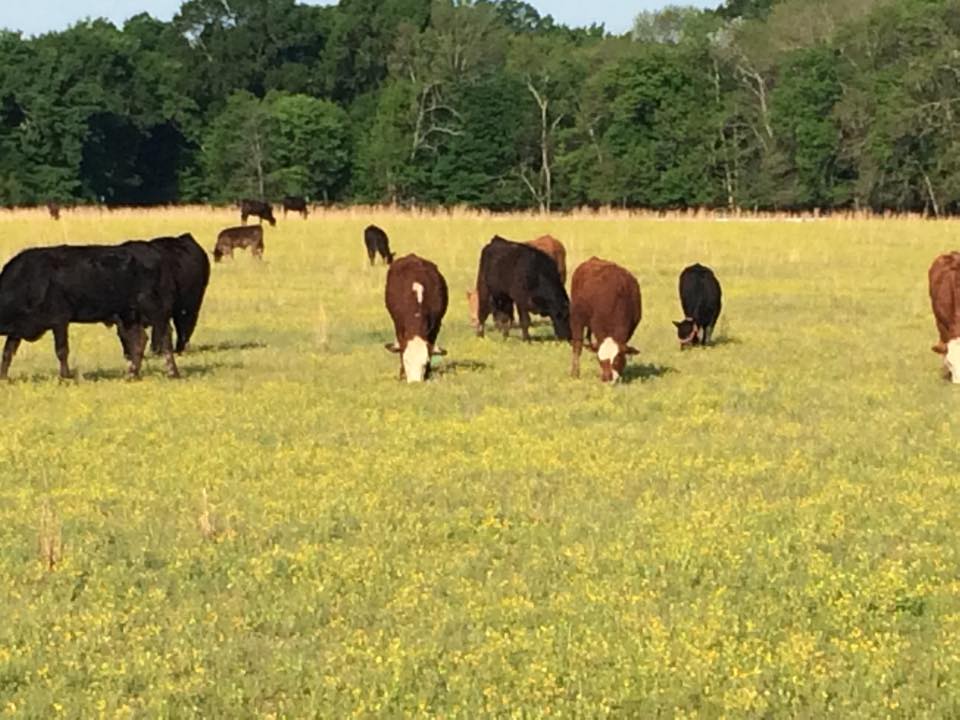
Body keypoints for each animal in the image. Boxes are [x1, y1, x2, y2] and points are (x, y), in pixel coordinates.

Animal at [0, 242, 180, 380]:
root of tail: (154, 251)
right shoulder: (17, 328)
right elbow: (7, 352)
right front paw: (3, 378)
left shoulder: (59, 320)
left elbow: (61, 351)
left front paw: (64, 377)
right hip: (129, 315)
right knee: (140, 339)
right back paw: (132, 375)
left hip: (154, 310)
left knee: (164, 336)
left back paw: (172, 373)